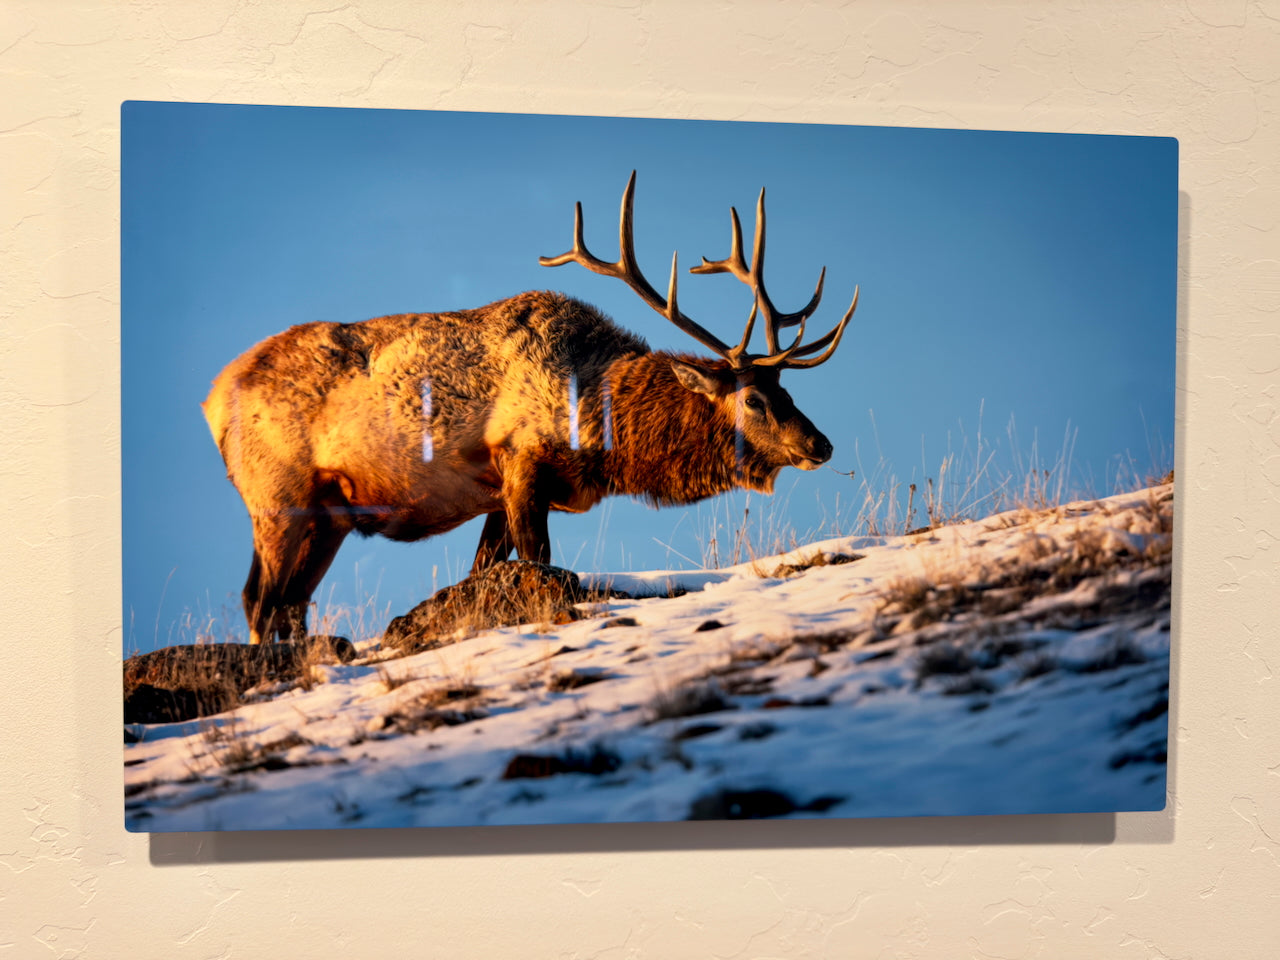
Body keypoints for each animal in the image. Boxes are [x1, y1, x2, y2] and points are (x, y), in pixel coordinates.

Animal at [203, 172, 858, 644]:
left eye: (788, 391)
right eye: (754, 398)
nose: (821, 444)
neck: (599, 429)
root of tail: (211, 398)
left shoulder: (494, 495)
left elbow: (480, 574)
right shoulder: (520, 463)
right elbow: (538, 565)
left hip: (329, 515)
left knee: (290, 605)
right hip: (277, 495)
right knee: (261, 601)